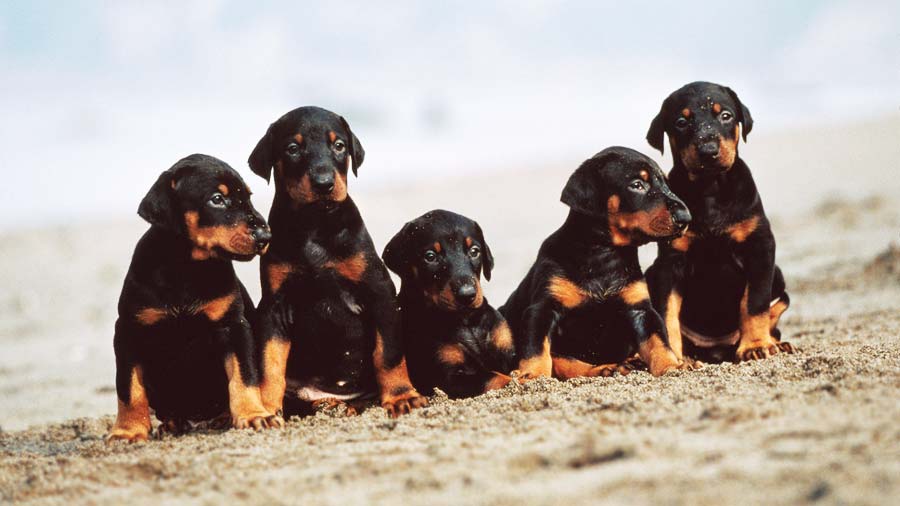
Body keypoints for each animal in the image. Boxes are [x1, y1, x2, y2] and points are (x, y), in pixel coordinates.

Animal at [248, 105, 428, 418]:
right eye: (293, 148)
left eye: (339, 146)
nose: (324, 184)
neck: (315, 222)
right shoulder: (273, 306)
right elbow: (270, 363)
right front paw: (267, 409)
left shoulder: (380, 292)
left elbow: (389, 354)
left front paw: (401, 396)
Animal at [384, 210, 516, 400]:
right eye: (430, 256)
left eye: (474, 251)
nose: (467, 294)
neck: (466, 320)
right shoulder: (449, 377)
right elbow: (497, 377)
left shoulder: (507, 351)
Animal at [500, 146, 696, 380]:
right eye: (637, 185)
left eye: (666, 185)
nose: (685, 217)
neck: (603, 256)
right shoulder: (542, 309)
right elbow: (537, 349)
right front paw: (534, 375)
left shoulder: (641, 309)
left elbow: (658, 340)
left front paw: (672, 366)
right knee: (563, 361)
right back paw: (607, 368)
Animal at [644, 81, 792, 362]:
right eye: (681, 122)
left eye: (725, 115)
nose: (708, 151)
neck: (710, 188)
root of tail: (716, 348)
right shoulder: (670, 262)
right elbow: (666, 313)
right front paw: (674, 357)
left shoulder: (760, 247)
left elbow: (755, 302)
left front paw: (756, 345)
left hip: (777, 273)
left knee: (780, 303)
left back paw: (776, 343)